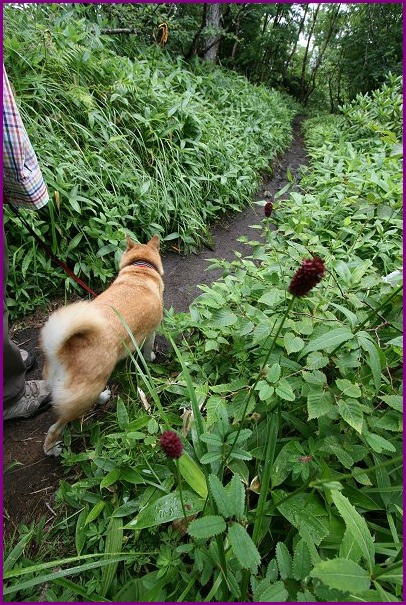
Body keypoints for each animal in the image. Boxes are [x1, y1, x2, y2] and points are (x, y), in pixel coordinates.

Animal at [40, 234, 163, 456]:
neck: (140, 270)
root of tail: (63, 350)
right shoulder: (151, 332)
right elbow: (148, 350)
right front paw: (151, 358)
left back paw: (104, 397)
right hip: (84, 395)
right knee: (55, 428)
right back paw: (51, 449)